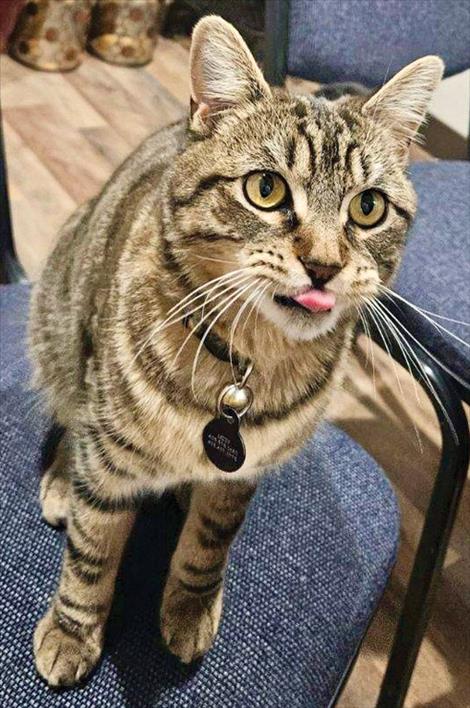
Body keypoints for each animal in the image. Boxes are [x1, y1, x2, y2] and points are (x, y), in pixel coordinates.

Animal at [27, 15, 442, 684]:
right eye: (266, 189)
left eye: (368, 207)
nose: (324, 265)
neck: (244, 364)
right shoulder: (108, 443)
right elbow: (92, 555)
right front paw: (73, 628)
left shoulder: (241, 475)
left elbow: (207, 548)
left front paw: (190, 607)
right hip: (60, 331)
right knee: (72, 421)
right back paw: (67, 478)